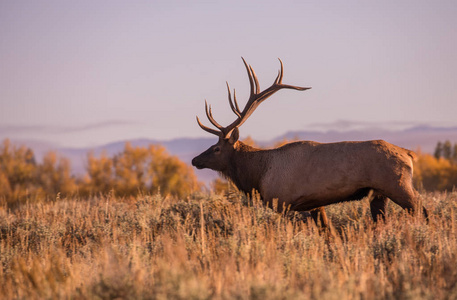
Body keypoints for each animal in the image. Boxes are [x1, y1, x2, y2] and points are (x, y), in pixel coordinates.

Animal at [191, 58, 428, 225]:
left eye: (216, 148)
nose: (195, 160)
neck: (259, 174)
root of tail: (409, 154)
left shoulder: (282, 202)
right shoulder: (314, 205)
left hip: (398, 186)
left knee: (423, 210)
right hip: (379, 195)